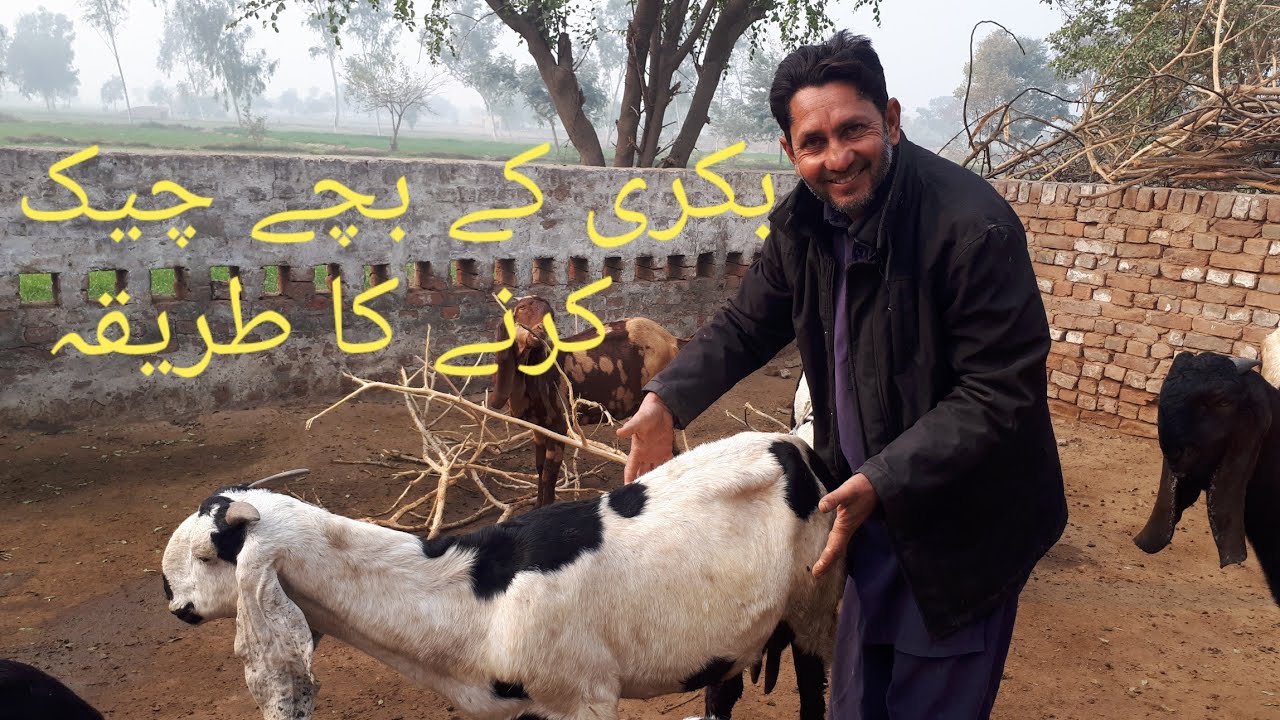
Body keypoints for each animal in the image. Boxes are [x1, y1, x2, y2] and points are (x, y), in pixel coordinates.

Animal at [161, 431, 845, 720]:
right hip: (738, 634)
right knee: (721, 691)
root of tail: (797, 447)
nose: (173, 603)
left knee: (815, 690)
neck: (473, 601)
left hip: (816, 601)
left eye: (209, 554)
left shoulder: (586, 698)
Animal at [486, 295, 685, 508]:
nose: (541, 331)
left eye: (551, 315)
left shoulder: (559, 426)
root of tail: (671, 339)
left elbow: (549, 473)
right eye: (521, 308)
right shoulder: (538, 428)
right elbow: (539, 468)